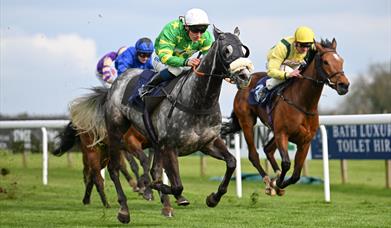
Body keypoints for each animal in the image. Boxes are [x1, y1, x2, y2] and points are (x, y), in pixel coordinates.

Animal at [74, 26, 254, 223]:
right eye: (226, 51)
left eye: (243, 50)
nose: (244, 76)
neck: (197, 102)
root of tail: (116, 84)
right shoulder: (170, 146)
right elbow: (176, 185)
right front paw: (151, 188)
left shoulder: (207, 143)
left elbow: (232, 162)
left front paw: (213, 198)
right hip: (115, 133)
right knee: (113, 169)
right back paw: (124, 210)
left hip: (154, 143)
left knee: (150, 169)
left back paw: (165, 206)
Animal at [222, 38, 350, 196]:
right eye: (326, 62)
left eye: (341, 60)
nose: (344, 85)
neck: (303, 103)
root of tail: (244, 83)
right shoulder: (282, 134)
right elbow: (287, 163)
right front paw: (276, 184)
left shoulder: (305, 141)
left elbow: (296, 175)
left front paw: (279, 183)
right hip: (247, 122)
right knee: (254, 155)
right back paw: (268, 183)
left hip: (273, 129)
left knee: (268, 149)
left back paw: (275, 177)